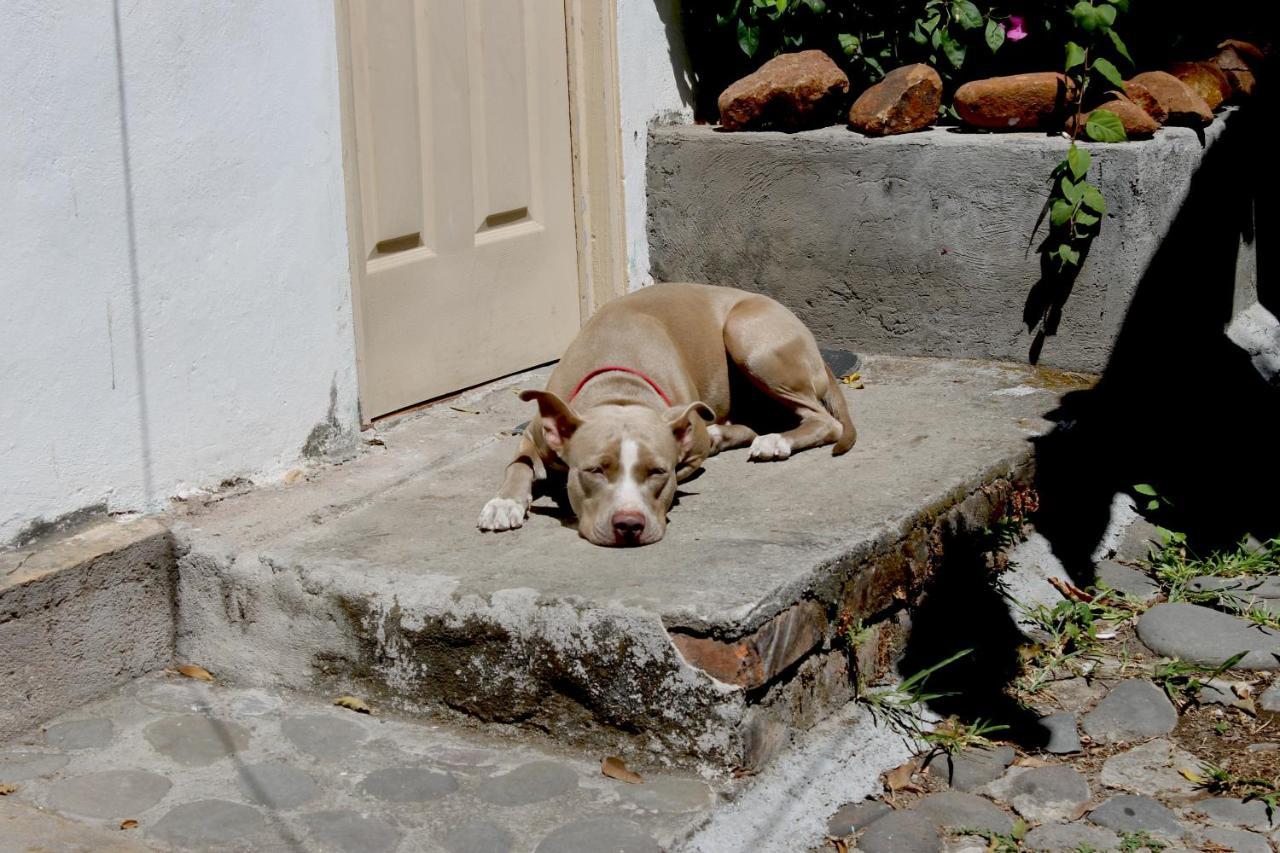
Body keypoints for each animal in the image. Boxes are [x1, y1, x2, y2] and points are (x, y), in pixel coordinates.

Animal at [481, 279, 860, 545]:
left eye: (657, 472)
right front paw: (504, 502)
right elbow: (518, 466)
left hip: (748, 337)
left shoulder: (691, 449)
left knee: (824, 421)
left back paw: (774, 441)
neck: (618, 389)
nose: (629, 525)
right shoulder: (534, 436)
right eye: (594, 470)